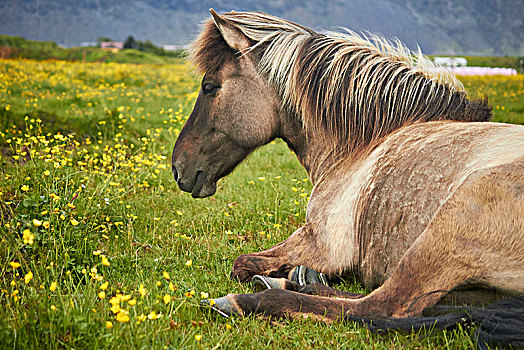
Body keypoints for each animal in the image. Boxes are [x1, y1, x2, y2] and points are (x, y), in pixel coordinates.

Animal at [171, 10, 524, 348]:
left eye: (210, 86)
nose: (178, 168)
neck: (364, 145)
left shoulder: (322, 243)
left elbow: (242, 262)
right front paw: (293, 274)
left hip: (442, 236)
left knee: (379, 306)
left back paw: (246, 299)